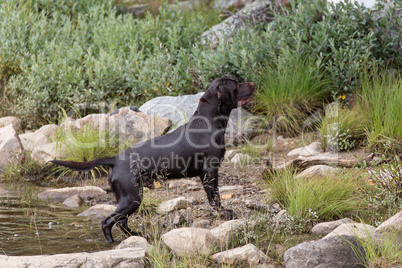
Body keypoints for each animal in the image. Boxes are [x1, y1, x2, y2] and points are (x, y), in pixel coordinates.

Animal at [51, 78, 254, 243]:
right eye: (236, 84)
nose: (253, 83)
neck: (210, 122)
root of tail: (115, 159)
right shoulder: (210, 170)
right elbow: (215, 198)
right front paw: (225, 213)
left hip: (129, 197)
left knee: (121, 222)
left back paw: (138, 236)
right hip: (132, 198)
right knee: (107, 221)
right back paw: (113, 242)